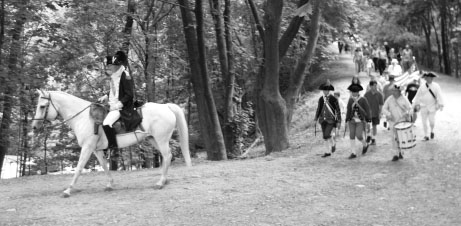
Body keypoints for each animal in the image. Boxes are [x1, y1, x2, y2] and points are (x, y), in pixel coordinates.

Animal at [31, 90, 190, 198]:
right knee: (168, 156)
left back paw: (160, 182)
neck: (84, 118)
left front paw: (68, 190)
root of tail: (166, 107)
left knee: (167, 156)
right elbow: (104, 166)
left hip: (161, 139)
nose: (34, 126)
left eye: (42, 106)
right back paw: (164, 180)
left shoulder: (87, 148)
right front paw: (110, 184)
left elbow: (79, 168)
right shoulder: (96, 150)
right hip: (154, 139)